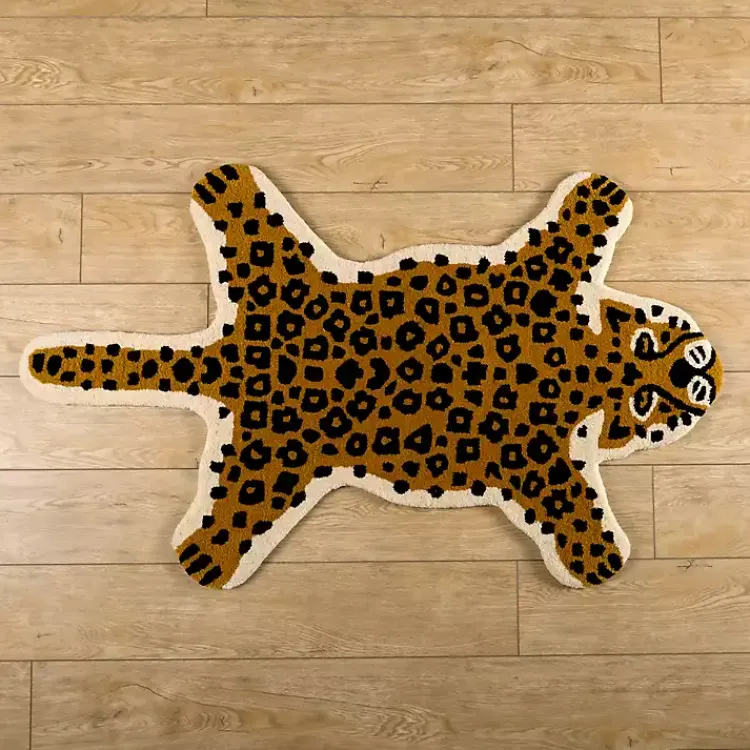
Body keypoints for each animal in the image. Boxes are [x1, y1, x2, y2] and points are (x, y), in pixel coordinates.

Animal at [22, 164, 723, 590]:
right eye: (647, 399)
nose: (700, 369)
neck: (592, 364)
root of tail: (233, 353)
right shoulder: (541, 304)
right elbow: (567, 243)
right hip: (277, 438)